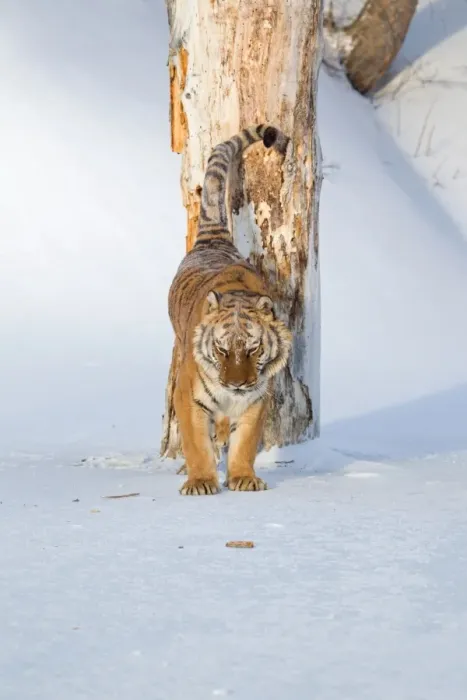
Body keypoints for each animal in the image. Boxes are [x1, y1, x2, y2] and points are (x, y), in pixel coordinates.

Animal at [168, 124, 293, 496]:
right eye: (222, 350)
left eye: (253, 349)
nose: (237, 384)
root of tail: (214, 241)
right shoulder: (189, 397)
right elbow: (196, 442)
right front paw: (201, 482)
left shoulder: (257, 399)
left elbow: (245, 442)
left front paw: (243, 478)